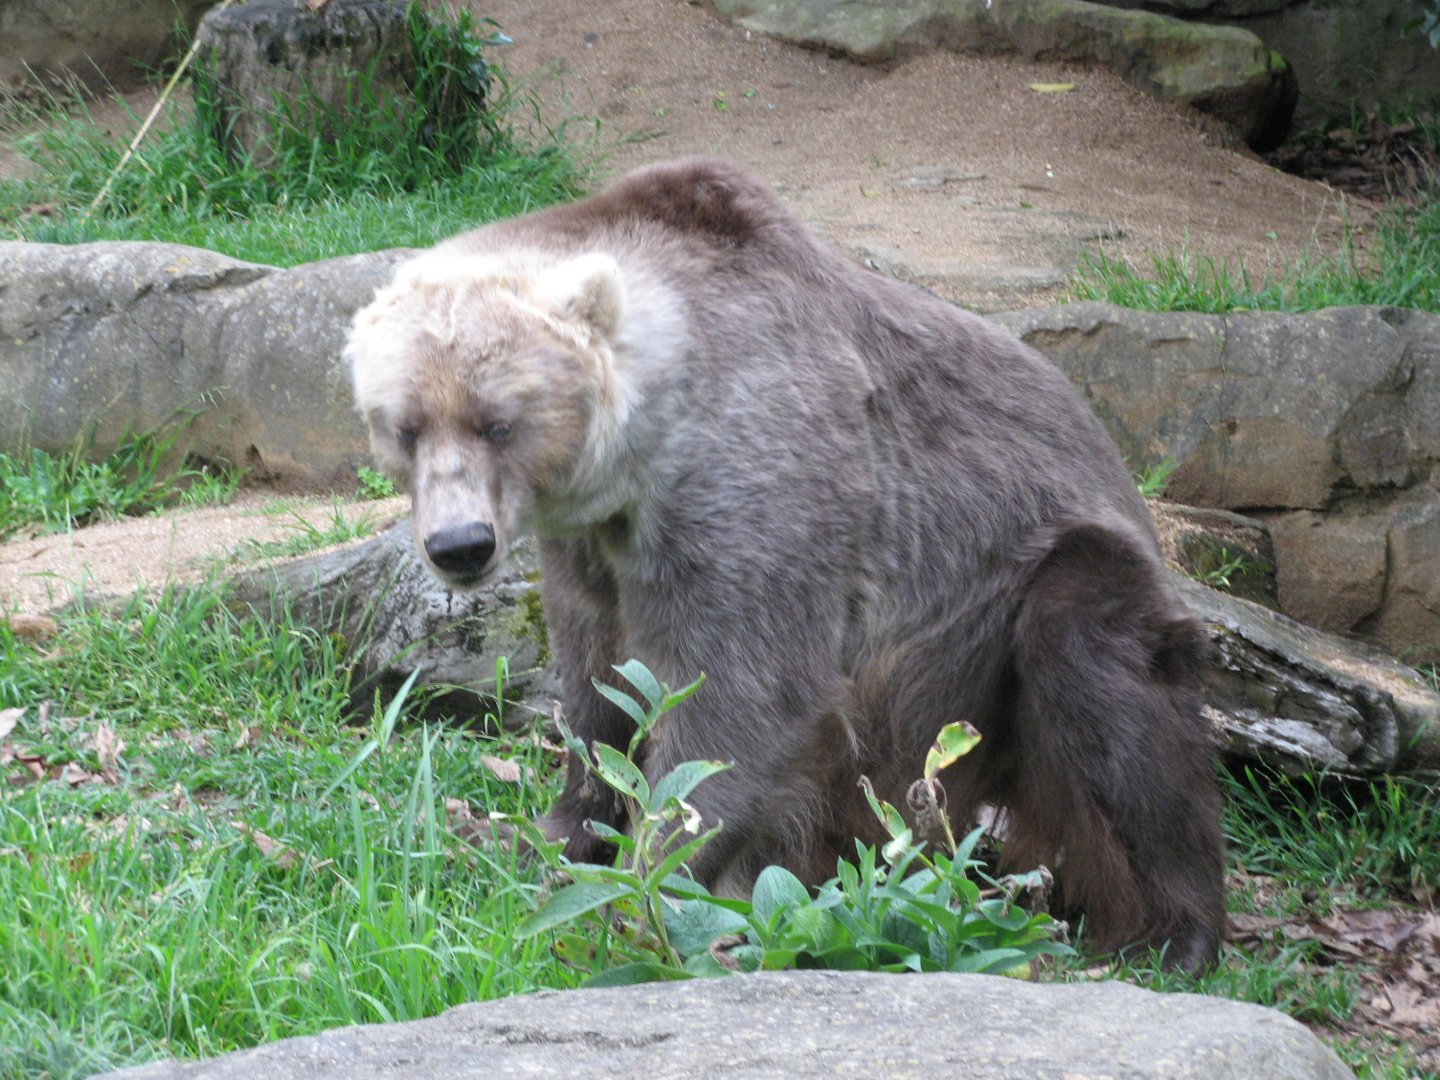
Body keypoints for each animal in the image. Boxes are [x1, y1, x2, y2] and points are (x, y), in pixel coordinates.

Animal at [346, 157, 1225, 971]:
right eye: (405, 425)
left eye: (498, 421)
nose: (461, 544)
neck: (641, 450)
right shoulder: (591, 551)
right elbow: (601, 691)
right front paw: (548, 838)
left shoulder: (761, 483)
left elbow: (743, 697)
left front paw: (652, 885)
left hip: (1031, 598)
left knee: (1109, 700)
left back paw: (1168, 936)